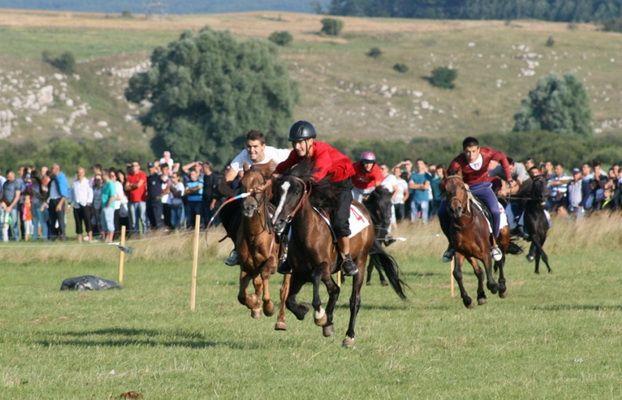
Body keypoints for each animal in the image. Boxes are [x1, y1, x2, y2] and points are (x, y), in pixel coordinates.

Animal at [270, 159, 408, 346]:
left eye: (297, 191)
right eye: (278, 191)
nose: (278, 222)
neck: (307, 232)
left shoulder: (323, 267)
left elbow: (316, 279)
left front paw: (319, 315)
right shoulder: (299, 273)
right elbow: (290, 300)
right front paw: (304, 312)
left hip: (360, 262)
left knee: (354, 299)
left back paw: (349, 335)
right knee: (334, 290)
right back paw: (328, 322)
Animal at [444, 175, 520, 310]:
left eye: (462, 187)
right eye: (446, 189)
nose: (455, 209)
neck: (466, 225)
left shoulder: (485, 251)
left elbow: (490, 280)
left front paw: (495, 287)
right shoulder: (460, 251)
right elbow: (458, 273)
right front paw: (468, 300)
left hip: (503, 238)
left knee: (501, 260)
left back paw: (502, 287)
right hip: (470, 254)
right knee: (479, 271)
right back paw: (481, 295)